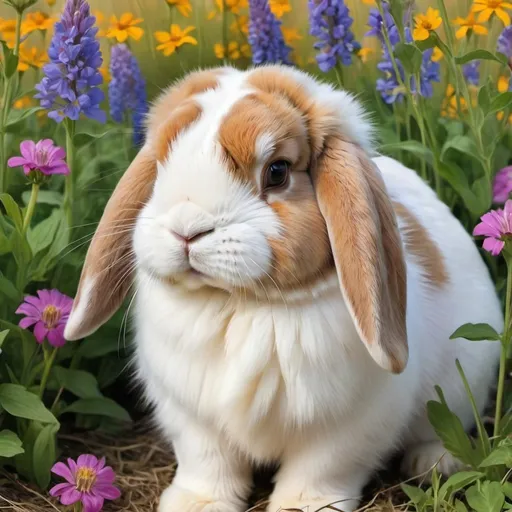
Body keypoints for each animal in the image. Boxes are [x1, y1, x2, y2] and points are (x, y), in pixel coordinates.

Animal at [63, 65, 500, 512]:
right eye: (161, 162)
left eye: (277, 171)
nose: (186, 228)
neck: (242, 305)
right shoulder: (192, 419)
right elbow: (207, 464)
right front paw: (195, 503)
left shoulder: (348, 425)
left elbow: (321, 468)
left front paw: (302, 506)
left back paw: (432, 463)